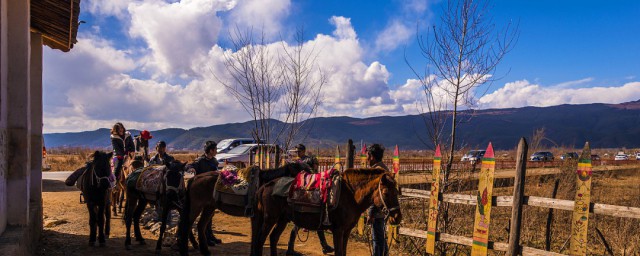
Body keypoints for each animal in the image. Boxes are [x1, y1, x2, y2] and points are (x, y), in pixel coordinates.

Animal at [179, 162, 312, 256]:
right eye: (304, 175)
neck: (265, 183)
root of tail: (194, 178)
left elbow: (256, 236)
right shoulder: (257, 216)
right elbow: (256, 236)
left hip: (209, 207)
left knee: (200, 225)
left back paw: (204, 250)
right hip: (196, 207)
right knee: (187, 225)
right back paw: (185, 251)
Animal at [250, 168, 400, 256]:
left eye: (397, 191)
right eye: (386, 193)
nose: (397, 217)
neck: (350, 195)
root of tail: (266, 185)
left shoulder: (346, 231)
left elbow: (344, 252)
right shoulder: (338, 230)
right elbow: (339, 253)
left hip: (282, 220)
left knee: (273, 238)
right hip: (270, 219)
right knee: (260, 240)